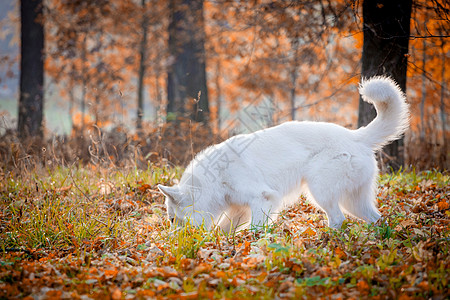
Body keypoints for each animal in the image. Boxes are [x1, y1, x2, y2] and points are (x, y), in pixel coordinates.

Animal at [159, 76, 412, 231]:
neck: (216, 178)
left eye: (172, 219)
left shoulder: (262, 199)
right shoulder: (238, 210)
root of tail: (356, 136)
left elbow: (256, 229)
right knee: (376, 219)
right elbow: (224, 231)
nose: (175, 240)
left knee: (338, 219)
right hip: (354, 202)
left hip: (320, 192)